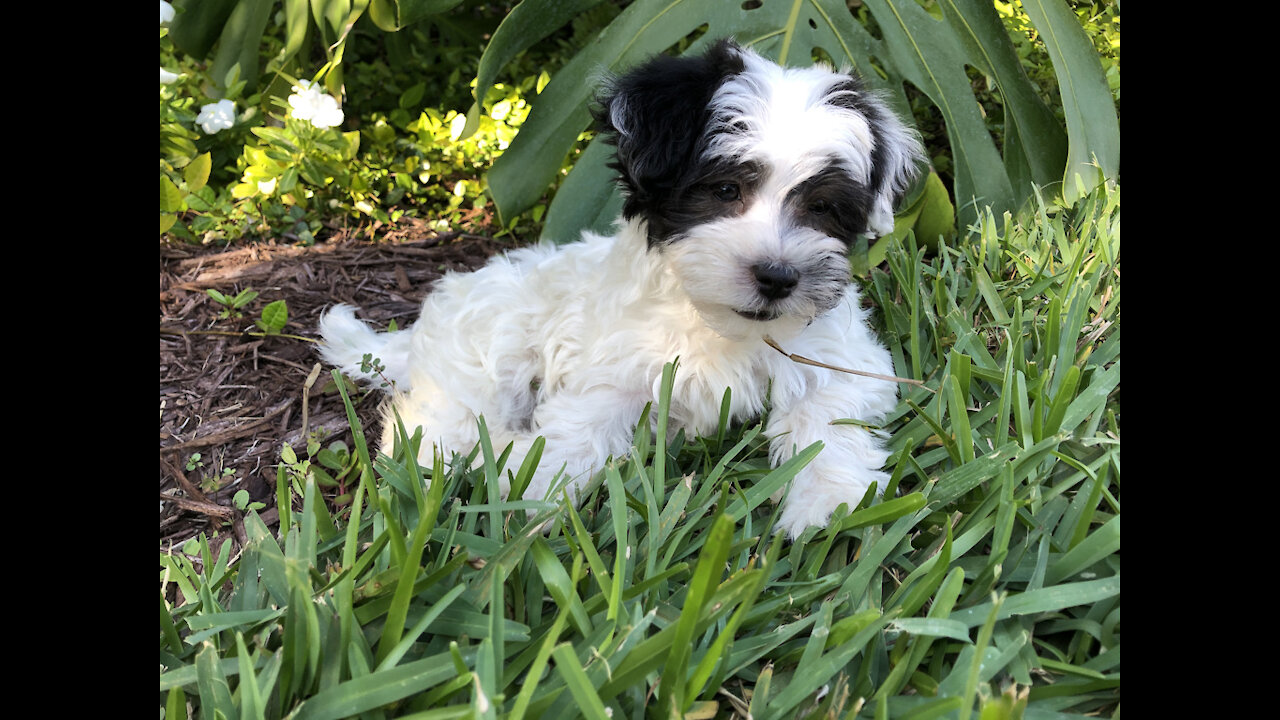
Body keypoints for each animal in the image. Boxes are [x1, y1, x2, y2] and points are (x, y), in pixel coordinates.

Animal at [317, 37, 921, 532]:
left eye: (822, 208)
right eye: (726, 189)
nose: (777, 277)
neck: (717, 322)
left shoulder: (839, 358)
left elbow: (830, 419)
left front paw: (828, 500)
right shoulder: (612, 370)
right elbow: (577, 431)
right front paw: (536, 492)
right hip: (483, 358)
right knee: (437, 430)